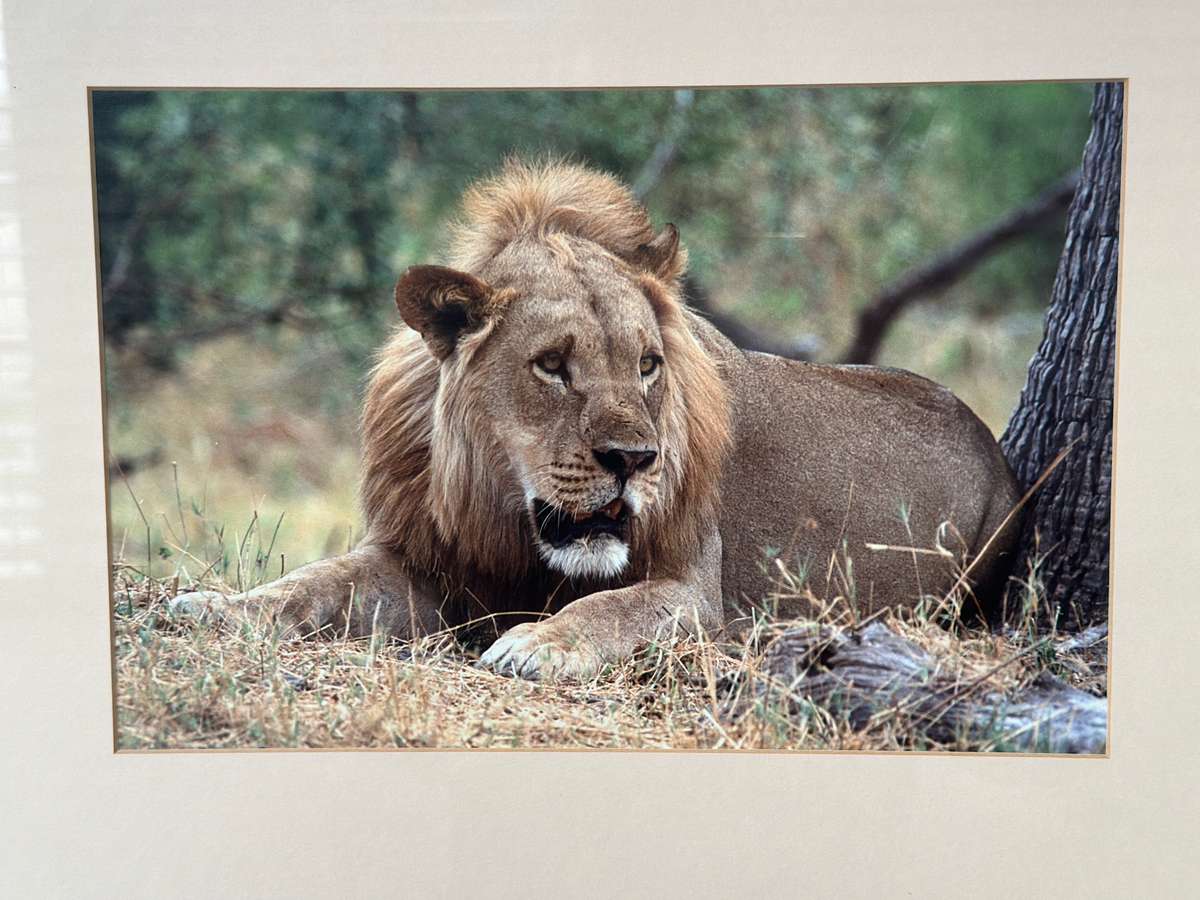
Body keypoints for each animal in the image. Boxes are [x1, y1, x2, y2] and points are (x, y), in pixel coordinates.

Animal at [171, 158, 1021, 680]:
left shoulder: (694, 596)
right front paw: (212, 606)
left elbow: (608, 607)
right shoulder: (423, 562)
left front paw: (537, 643)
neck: (507, 516)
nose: (634, 460)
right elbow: (309, 585)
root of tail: (989, 439)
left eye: (647, 364)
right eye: (552, 365)